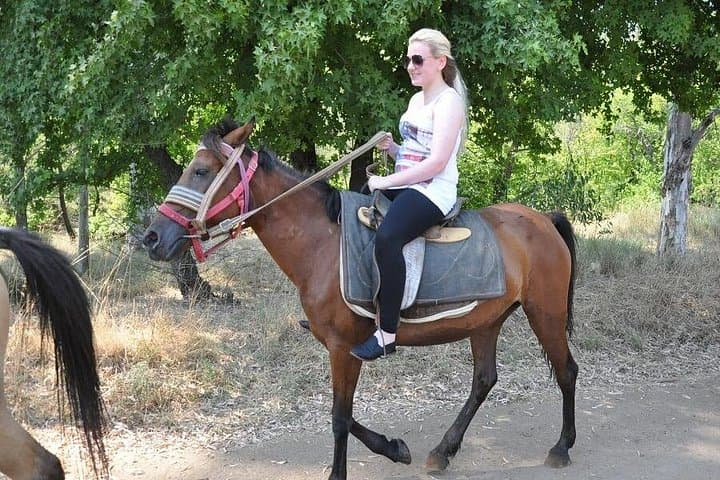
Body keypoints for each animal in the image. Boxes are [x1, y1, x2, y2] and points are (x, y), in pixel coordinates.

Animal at [143, 118, 579, 480]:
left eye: (201, 171)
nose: (152, 237)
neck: (322, 243)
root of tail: (543, 220)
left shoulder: (343, 346)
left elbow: (339, 417)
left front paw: (341, 473)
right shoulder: (340, 348)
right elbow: (346, 414)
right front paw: (395, 448)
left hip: (545, 312)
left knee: (566, 371)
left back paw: (561, 447)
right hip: (486, 321)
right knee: (484, 380)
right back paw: (443, 451)